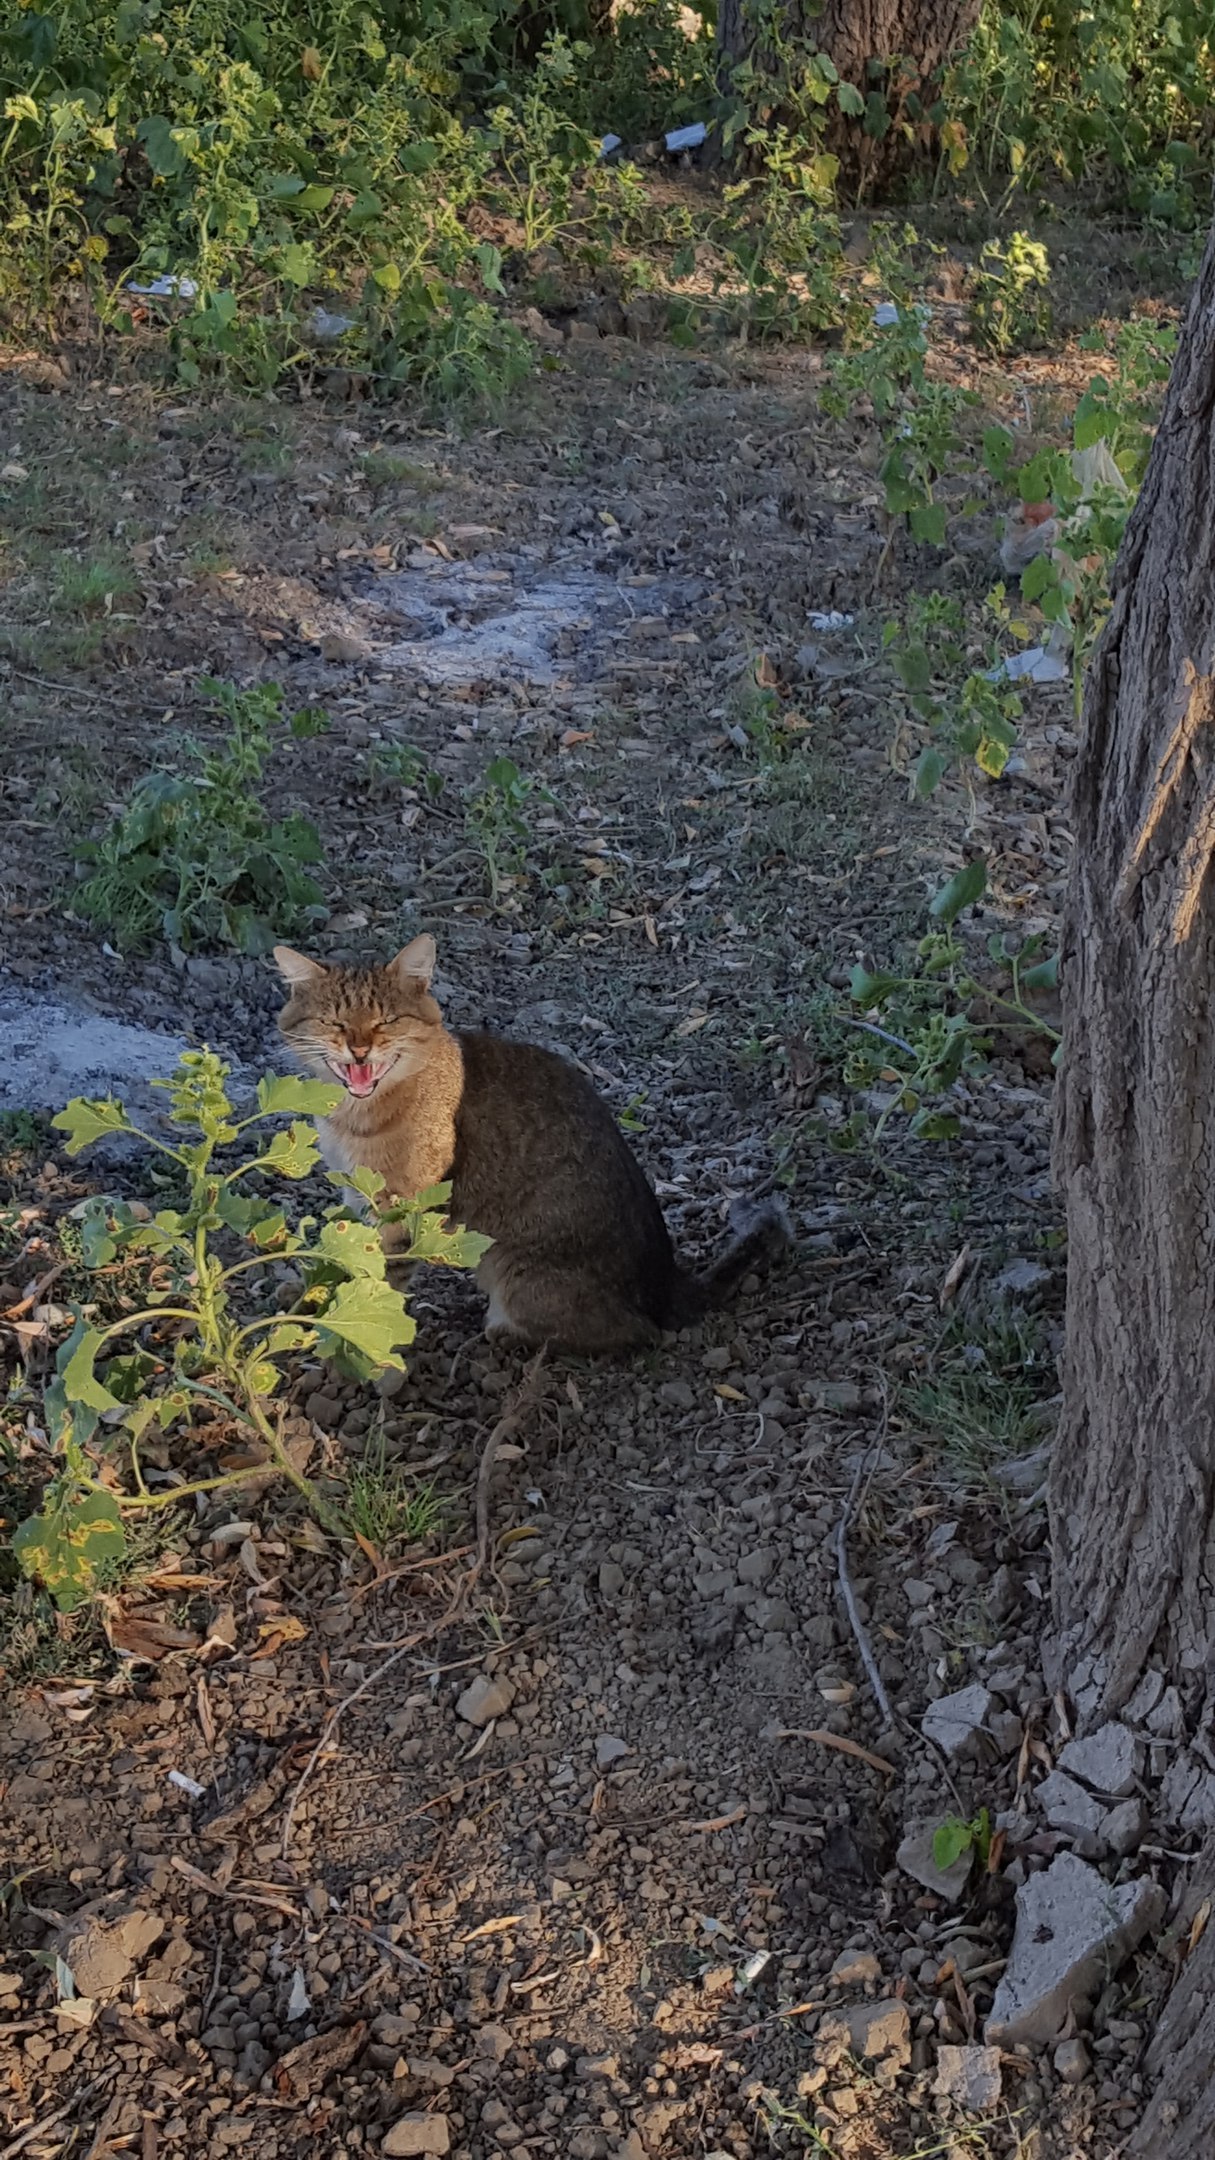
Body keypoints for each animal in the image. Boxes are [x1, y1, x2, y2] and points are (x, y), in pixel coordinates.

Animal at [272, 928, 786, 1347]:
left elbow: (383, 1268)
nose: (359, 1049)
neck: (355, 1115)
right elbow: (353, 1249)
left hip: (513, 1271)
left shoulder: (404, 1203)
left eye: (386, 1021)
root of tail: (665, 1280)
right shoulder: (356, 1190)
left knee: (639, 1334)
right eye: (335, 1023)